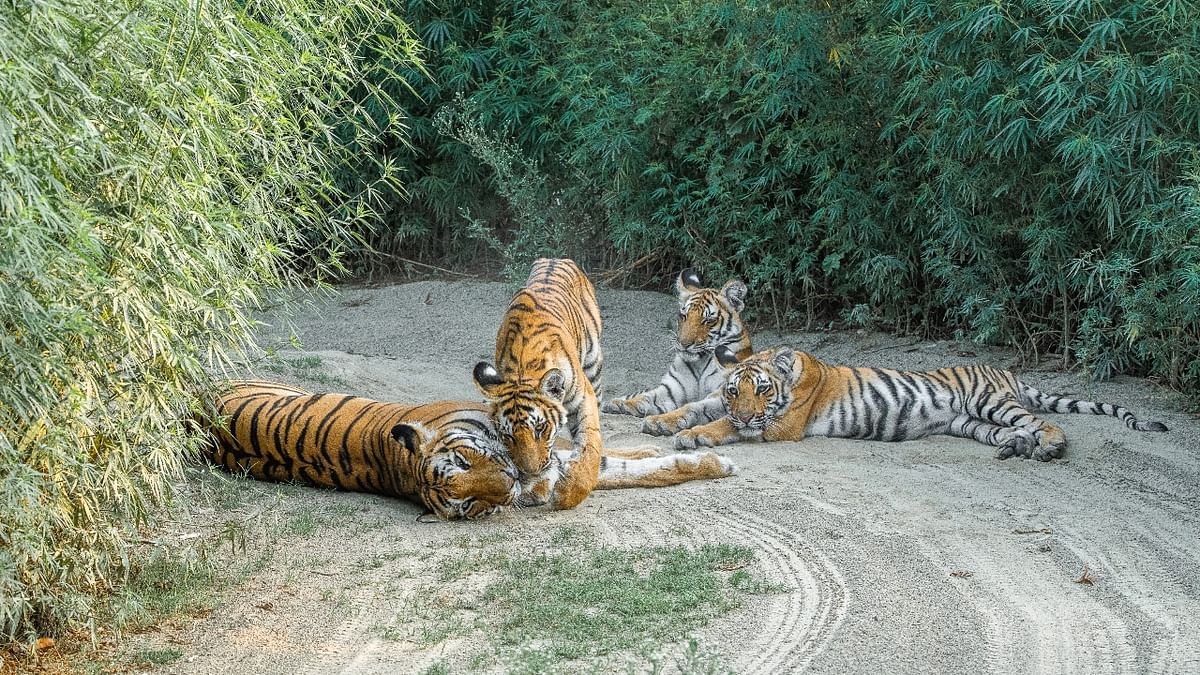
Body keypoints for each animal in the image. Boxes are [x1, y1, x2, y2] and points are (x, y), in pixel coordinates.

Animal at [201, 379, 734, 521]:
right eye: (472, 505)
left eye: (462, 460)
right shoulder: (547, 473)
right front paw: (714, 462)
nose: (512, 483)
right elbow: (622, 467)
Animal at [472, 260, 609, 506]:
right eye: (508, 436)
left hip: (594, 364)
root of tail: (557, 259)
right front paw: (538, 486)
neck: (522, 370)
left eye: (540, 428)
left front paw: (570, 492)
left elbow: (590, 441)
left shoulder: (583, 395)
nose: (532, 472)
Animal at [604, 266, 753, 415]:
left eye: (708, 320)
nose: (684, 344)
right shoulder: (671, 390)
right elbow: (646, 397)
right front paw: (620, 404)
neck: (700, 364)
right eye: (684, 316)